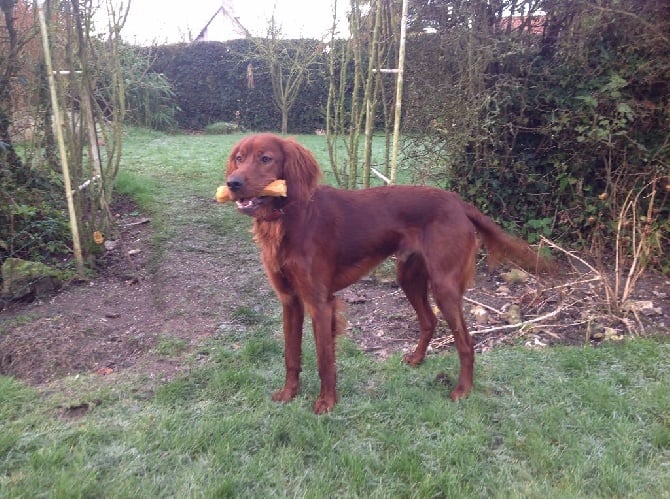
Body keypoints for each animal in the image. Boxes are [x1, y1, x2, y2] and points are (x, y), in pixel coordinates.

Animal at [224, 133, 552, 414]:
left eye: (266, 158)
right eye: (239, 158)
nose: (232, 183)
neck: (290, 216)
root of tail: (458, 202)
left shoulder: (320, 302)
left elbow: (324, 359)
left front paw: (327, 402)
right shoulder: (290, 300)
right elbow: (291, 355)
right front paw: (288, 394)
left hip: (444, 286)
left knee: (466, 342)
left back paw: (462, 390)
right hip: (408, 276)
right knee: (429, 321)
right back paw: (417, 359)